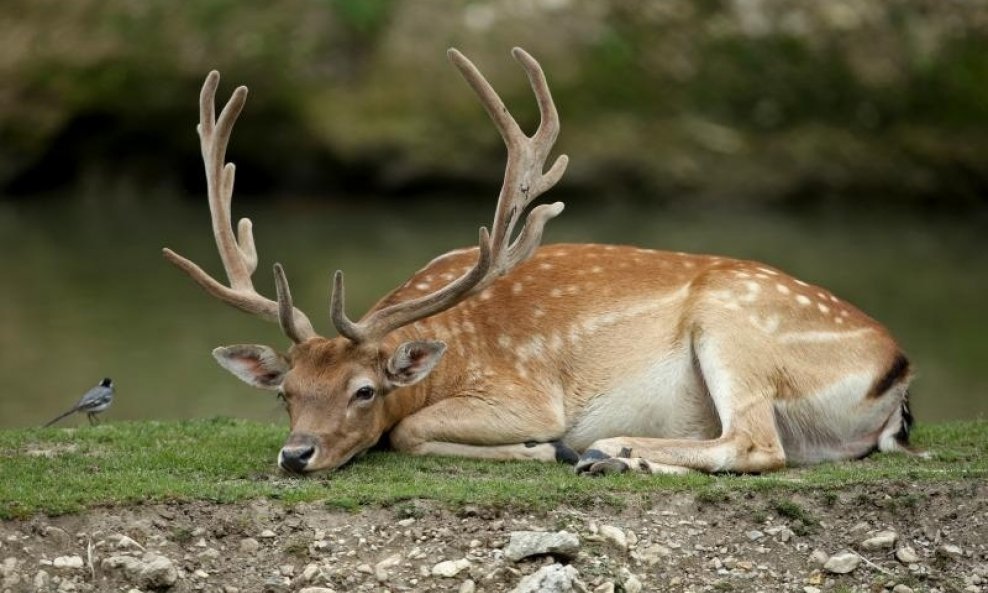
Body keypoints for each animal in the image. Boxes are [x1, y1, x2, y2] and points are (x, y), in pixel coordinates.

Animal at [162, 48, 920, 478]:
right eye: (285, 392)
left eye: (364, 390)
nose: (296, 454)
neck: (449, 350)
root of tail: (898, 372)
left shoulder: (524, 392)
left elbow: (409, 432)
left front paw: (544, 448)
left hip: (735, 325)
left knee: (757, 443)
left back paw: (607, 451)